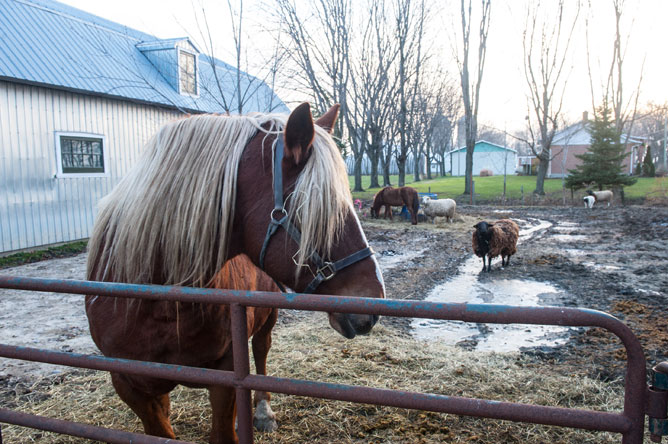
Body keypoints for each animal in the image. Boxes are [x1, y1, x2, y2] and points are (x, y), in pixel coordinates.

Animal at [85, 104, 386, 444]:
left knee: (262, 350)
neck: (158, 300)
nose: (374, 301)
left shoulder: (226, 374)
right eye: (321, 209)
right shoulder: (129, 385)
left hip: (267, 317)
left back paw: (263, 412)